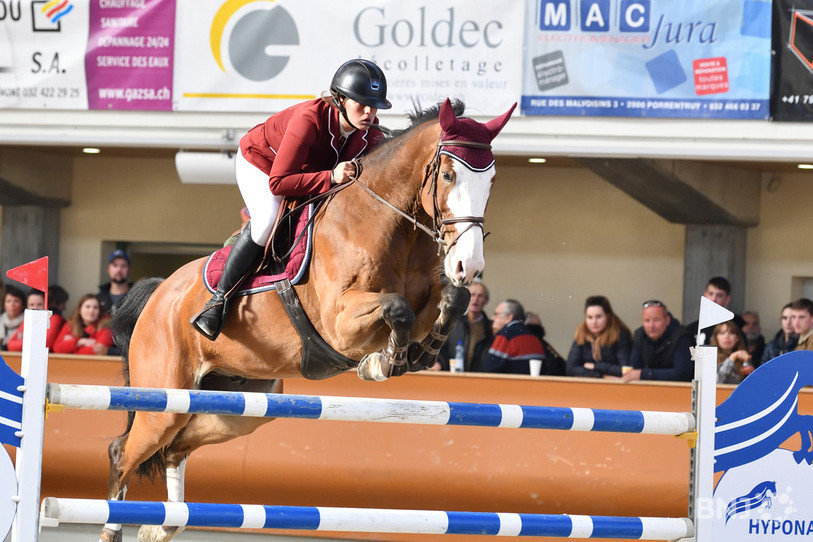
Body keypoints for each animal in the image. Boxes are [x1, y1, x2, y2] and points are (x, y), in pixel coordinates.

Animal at [101, 98, 516, 542]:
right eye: (450, 174)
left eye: (492, 181)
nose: (468, 265)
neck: (386, 220)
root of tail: (159, 295)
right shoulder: (341, 323)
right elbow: (397, 308)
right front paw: (382, 363)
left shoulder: (429, 298)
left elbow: (454, 300)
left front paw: (421, 352)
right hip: (164, 402)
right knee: (124, 452)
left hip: (237, 407)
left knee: (176, 447)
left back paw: (162, 526)